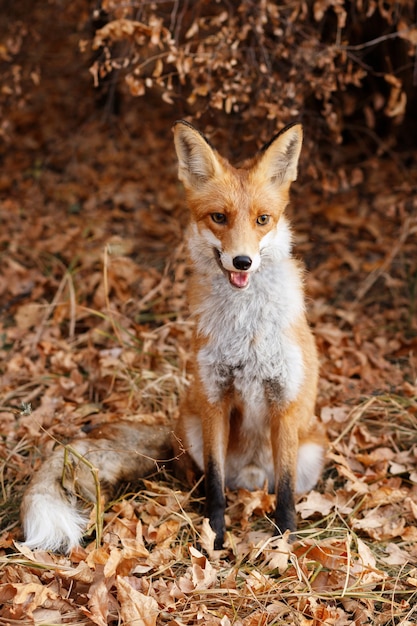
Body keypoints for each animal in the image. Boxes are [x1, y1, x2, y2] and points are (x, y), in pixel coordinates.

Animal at [20, 122, 324, 552]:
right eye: (219, 217)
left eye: (263, 219)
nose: (243, 261)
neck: (246, 332)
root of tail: (248, 479)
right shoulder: (214, 399)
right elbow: (214, 483)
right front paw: (215, 533)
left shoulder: (285, 402)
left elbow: (284, 491)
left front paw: (285, 539)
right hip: (193, 432)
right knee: (199, 479)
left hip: (310, 454)